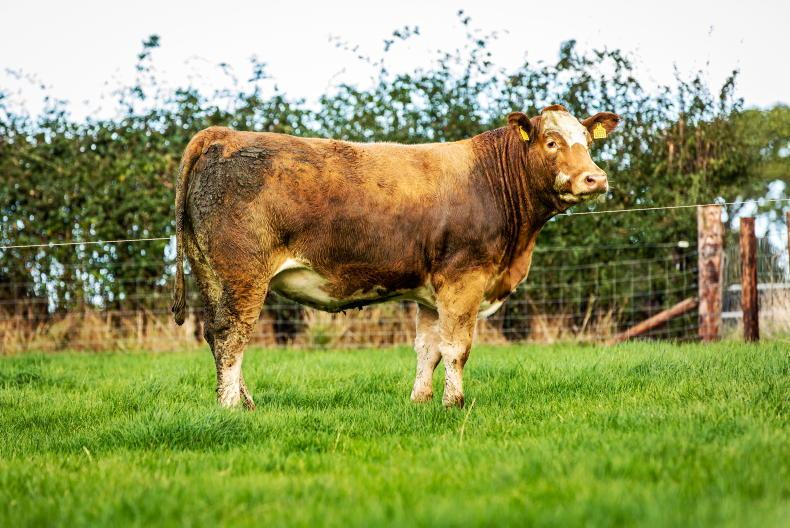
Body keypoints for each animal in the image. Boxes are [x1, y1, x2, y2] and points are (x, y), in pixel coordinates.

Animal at [171, 104, 620, 409]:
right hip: (244, 273)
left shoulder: (431, 293)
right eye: (551, 142)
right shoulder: (464, 278)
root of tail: (223, 134)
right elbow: (457, 347)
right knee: (232, 335)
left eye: (588, 142)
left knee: (215, 334)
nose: (595, 178)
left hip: (209, 271)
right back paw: (231, 406)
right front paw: (453, 403)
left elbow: (428, 349)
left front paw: (420, 401)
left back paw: (244, 402)